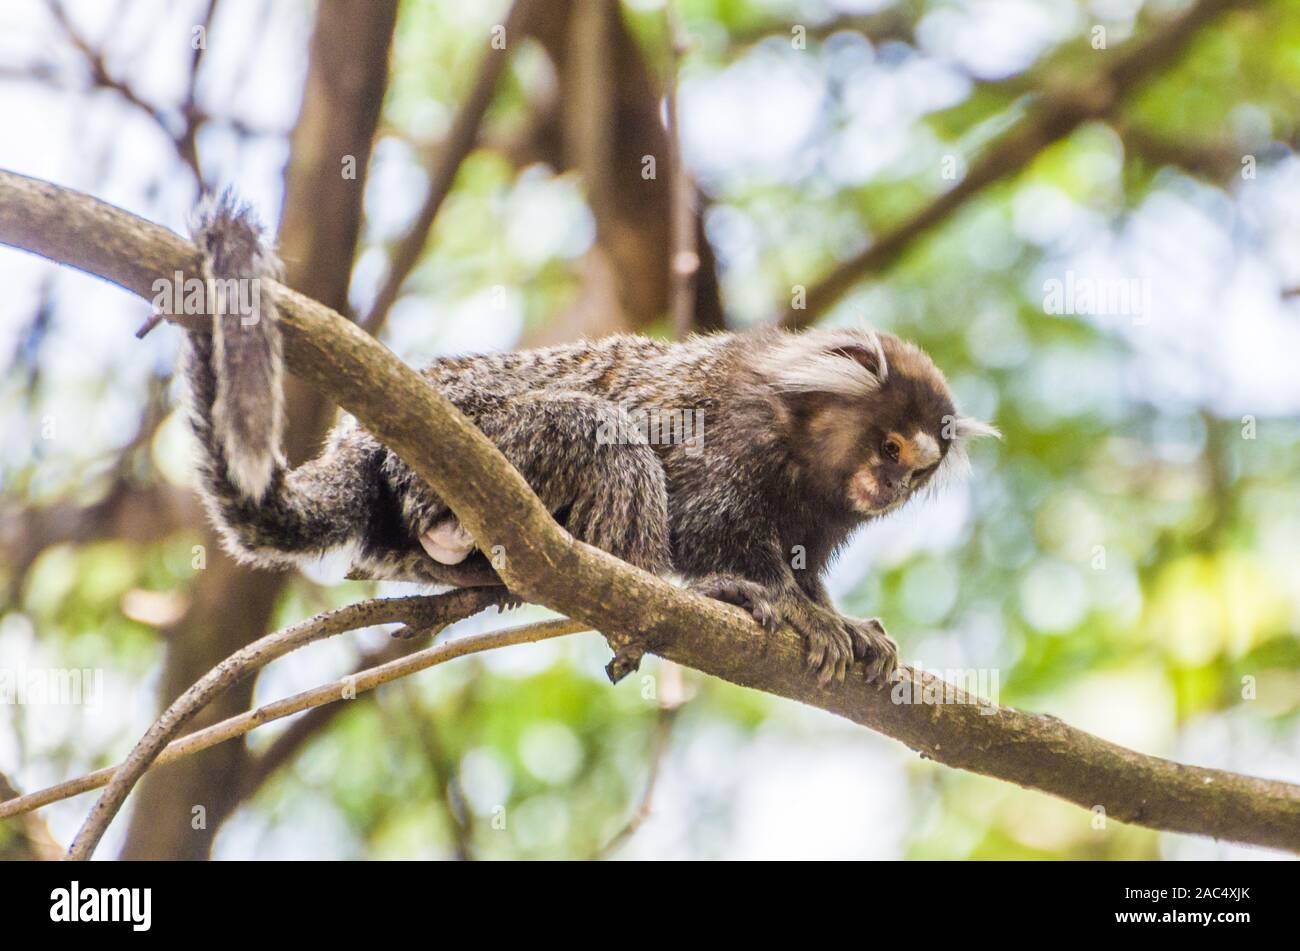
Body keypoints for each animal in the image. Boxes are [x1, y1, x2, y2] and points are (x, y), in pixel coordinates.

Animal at [182, 193, 999, 686]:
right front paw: (789, 606)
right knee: (600, 433)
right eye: (891, 448)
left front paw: (837, 615)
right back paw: (669, 587)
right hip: (471, 444)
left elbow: (806, 562)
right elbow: (711, 521)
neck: (799, 441)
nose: (890, 485)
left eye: (917, 470)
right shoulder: (730, 433)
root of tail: (367, 444)